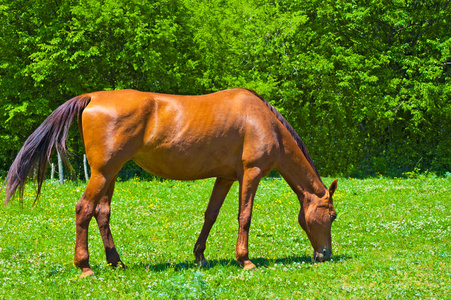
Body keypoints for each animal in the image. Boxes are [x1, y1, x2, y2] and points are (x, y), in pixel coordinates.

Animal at [3, 88, 338, 278]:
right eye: (332, 216)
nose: (325, 255)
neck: (262, 120)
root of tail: (93, 97)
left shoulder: (226, 177)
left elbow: (211, 215)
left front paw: (200, 256)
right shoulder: (251, 173)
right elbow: (245, 216)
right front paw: (245, 260)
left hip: (110, 173)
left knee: (101, 212)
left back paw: (116, 262)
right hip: (102, 172)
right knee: (84, 209)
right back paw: (85, 267)